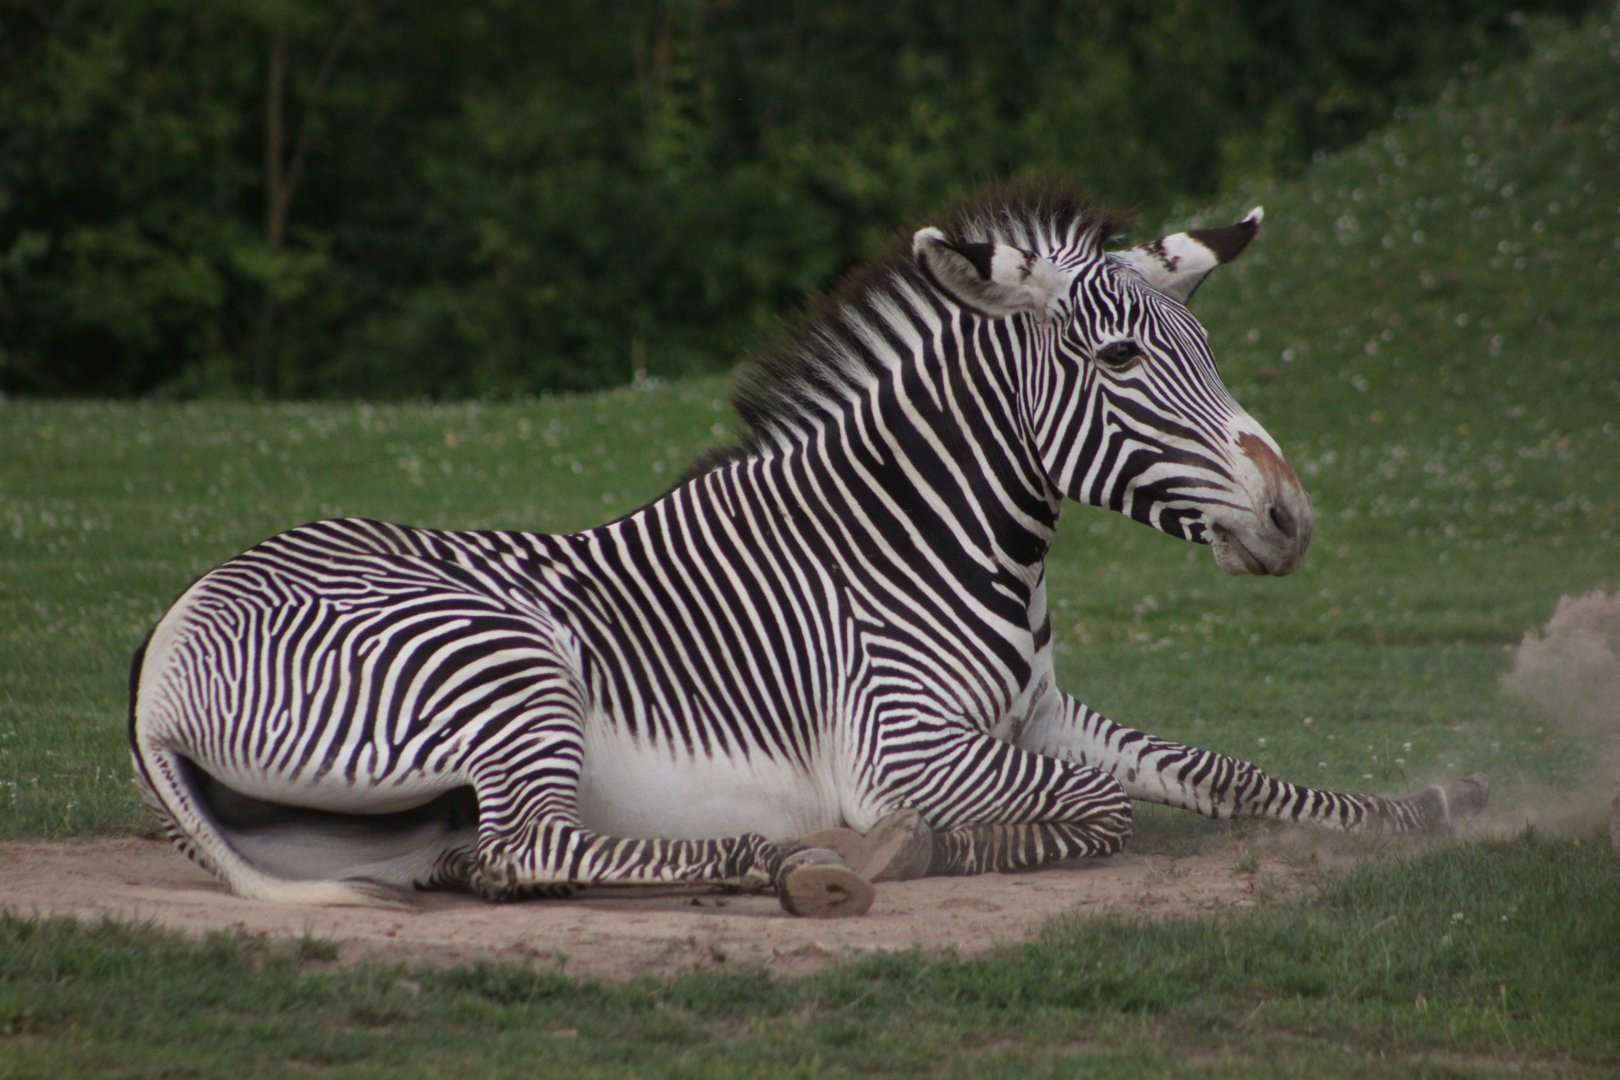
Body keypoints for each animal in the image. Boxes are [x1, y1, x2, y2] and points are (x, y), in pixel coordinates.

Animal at [129, 185, 1488, 917]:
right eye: (1119, 360)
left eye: (1206, 352)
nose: (1291, 519)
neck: (925, 536)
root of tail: (166, 649)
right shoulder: (902, 752)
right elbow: (1098, 809)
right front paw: (911, 849)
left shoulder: (1034, 714)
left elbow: (1223, 769)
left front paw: (1411, 807)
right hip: (503, 660)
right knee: (535, 846)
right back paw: (788, 862)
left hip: (379, 814)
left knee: (493, 855)